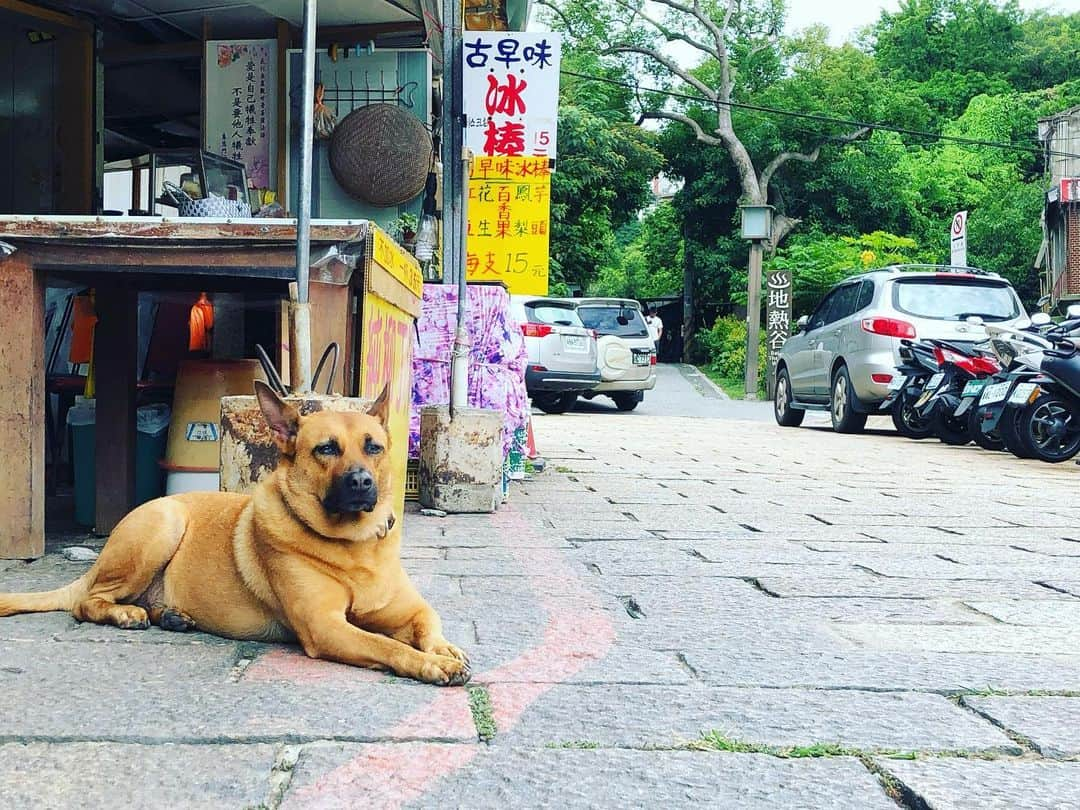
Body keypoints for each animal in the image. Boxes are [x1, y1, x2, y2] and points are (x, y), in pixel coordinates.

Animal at [1, 384, 473, 686]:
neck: (353, 546)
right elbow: (388, 646)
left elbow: (428, 624)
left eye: (374, 447)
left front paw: (444, 650)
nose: (361, 483)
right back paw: (125, 614)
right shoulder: (325, 627)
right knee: (86, 603)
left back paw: (170, 615)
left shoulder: (410, 610)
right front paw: (431, 664)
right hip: (163, 524)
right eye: (326, 449)